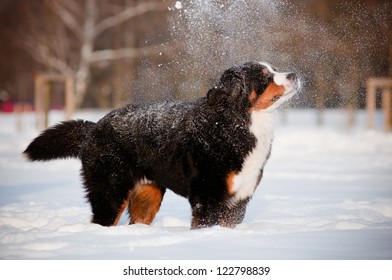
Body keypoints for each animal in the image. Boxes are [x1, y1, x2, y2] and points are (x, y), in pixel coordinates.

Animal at [23, 62, 300, 229]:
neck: (235, 124)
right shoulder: (208, 197)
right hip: (110, 191)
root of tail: (95, 127)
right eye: (264, 75)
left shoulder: (239, 199)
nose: (294, 75)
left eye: (273, 69)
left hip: (147, 196)